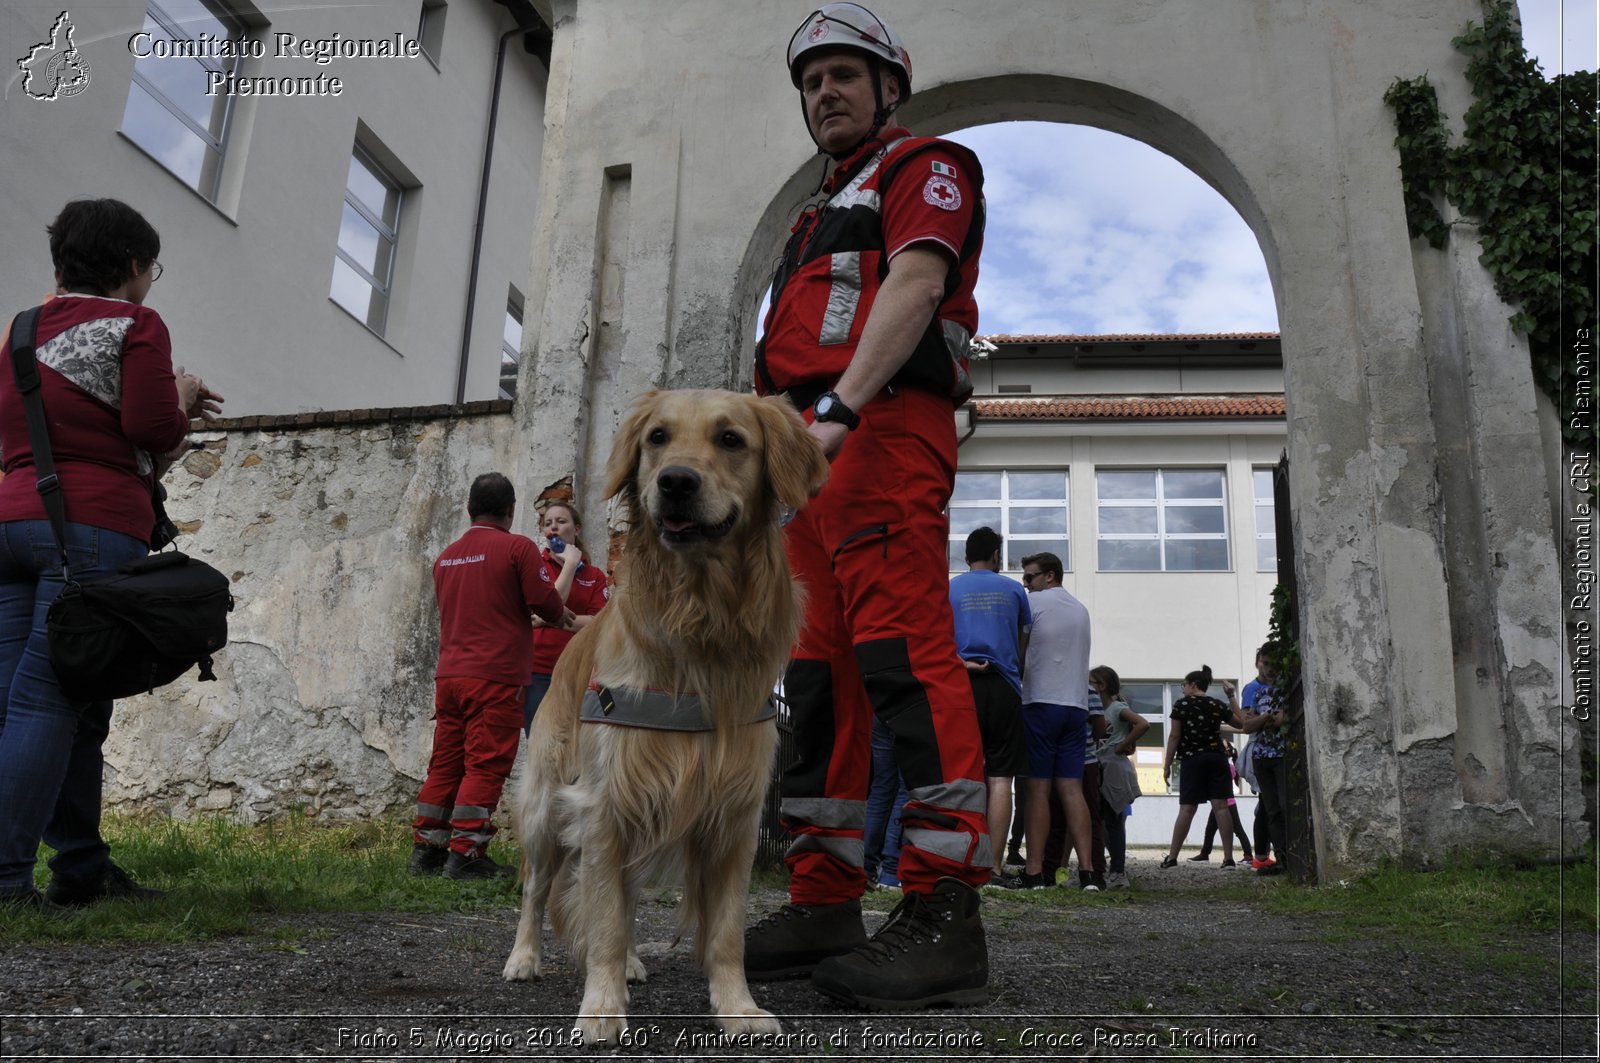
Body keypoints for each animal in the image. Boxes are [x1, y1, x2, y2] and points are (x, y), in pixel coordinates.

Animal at [499, 385, 825, 1043]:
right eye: (657, 438)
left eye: (731, 439)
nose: (675, 481)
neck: (697, 616)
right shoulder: (605, 802)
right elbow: (602, 918)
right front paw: (601, 1009)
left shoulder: (733, 812)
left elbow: (722, 932)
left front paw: (737, 1008)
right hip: (548, 808)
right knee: (538, 888)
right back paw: (525, 958)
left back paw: (628, 962)